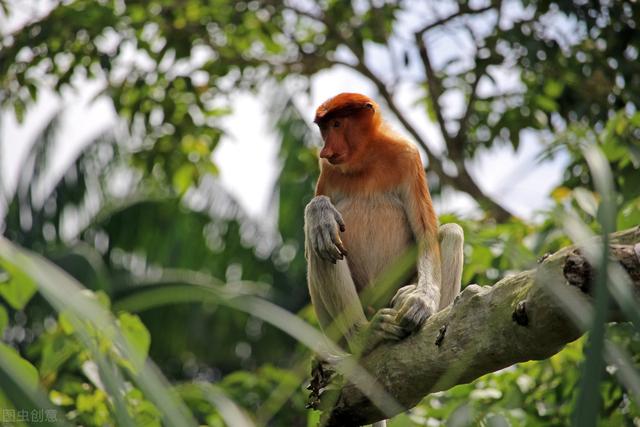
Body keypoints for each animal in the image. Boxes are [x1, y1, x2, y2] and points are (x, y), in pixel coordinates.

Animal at [304, 93, 464, 358]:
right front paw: (320, 211)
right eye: (324, 129)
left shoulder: (408, 156)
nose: (325, 151)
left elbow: (426, 234)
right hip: (335, 335)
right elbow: (313, 242)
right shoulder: (328, 171)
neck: (366, 159)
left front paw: (420, 301)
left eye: (336, 124)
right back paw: (364, 337)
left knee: (452, 232)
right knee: (321, 246)